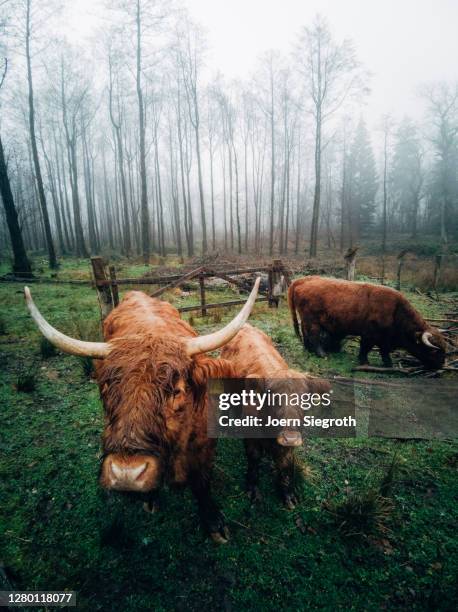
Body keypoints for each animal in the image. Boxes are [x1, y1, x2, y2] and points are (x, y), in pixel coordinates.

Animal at [25, 280, 260, 544]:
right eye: (106, 386)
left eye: (177, 391)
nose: (127, 474)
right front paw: (150, 499)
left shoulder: (203, 446)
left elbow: (202, 483)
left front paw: (214, 523)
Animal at [221, 322, 330, 510]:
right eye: (273, 398)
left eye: (306, 400)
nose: (290, 438)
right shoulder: (251, 437)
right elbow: (254, 460)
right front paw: (253, 490)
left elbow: (285, 466)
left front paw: (288, 495)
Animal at [288, 276, 446, 368]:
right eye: (433, 350)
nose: (441, 365)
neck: (396, 311)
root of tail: (301, 281)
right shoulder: (370, 335)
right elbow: (366, 348)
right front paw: (365, 362)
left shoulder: (384, 339)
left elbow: (384, 351)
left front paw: (388, 364)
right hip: (312, 321)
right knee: (313, 335)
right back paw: (322, 354)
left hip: (307, 320)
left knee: (305, 333)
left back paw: (308, 349)